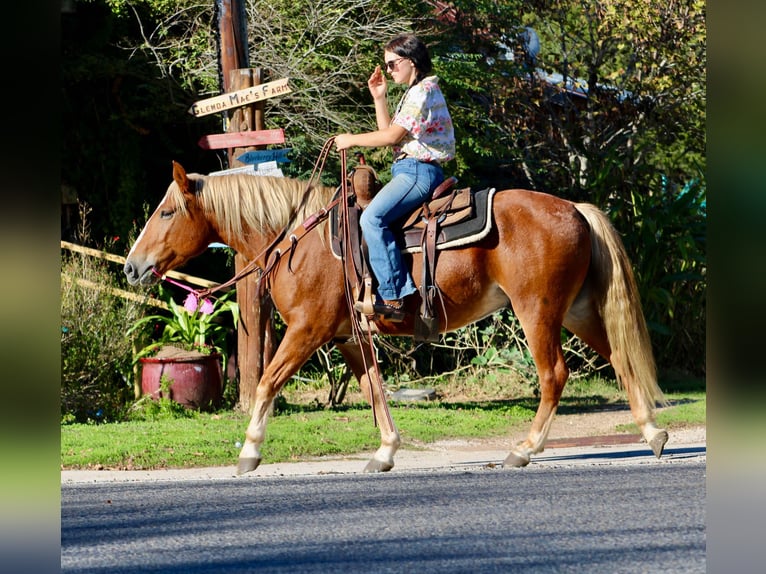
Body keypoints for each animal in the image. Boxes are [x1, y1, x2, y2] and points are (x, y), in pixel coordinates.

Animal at [123, 161, 668, 476]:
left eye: (167, 212)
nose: (132, 266)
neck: (298, 239)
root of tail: (574, 208)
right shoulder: (348, 337)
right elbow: (374, 392)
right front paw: (385, 452)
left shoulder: (306, 330)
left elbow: (266, 382)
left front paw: (249, 453)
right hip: (576, 310)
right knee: (622, 360)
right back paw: (653, 435)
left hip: (538, 311)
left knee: (554, 374)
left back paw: (524, 449)